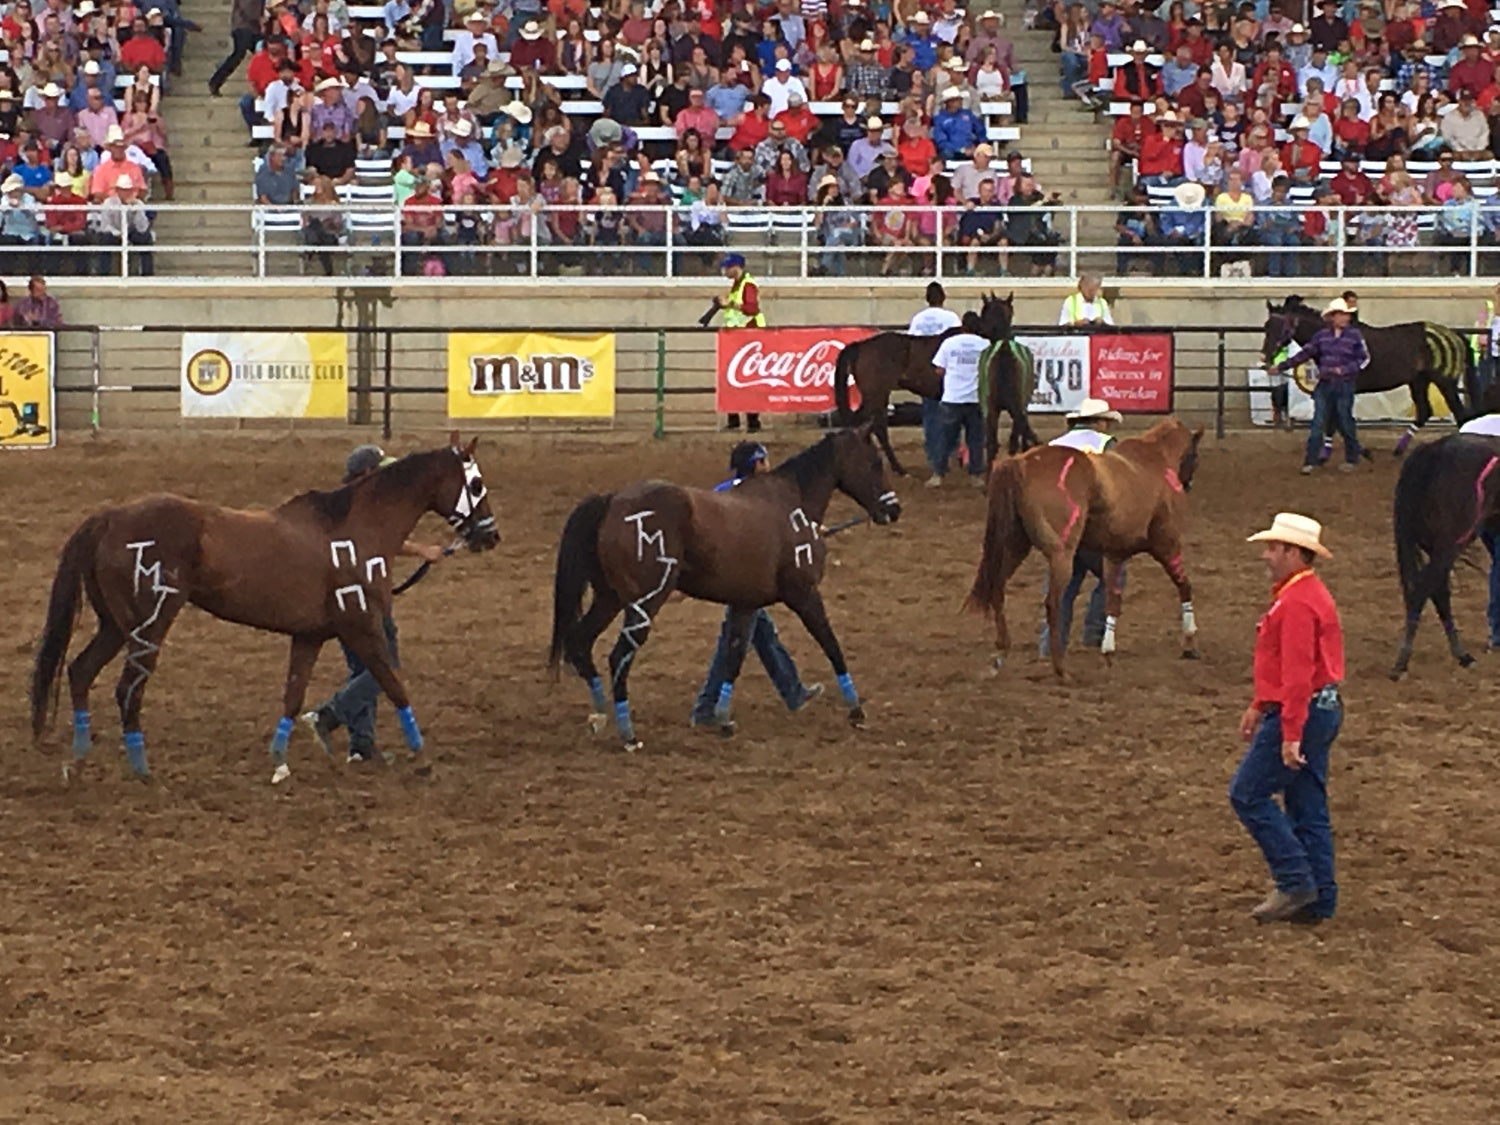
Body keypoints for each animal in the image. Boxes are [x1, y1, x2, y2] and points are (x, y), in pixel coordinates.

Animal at [29, 435, 501, 786]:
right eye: (477, 485)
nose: (490, 536)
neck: (355, 531)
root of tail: (109, 517)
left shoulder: (310, 636)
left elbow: (293, 696)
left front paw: (279, 762)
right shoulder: (361, 627)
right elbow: (393, 683)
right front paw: (422, 757)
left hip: (115, 626)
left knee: (80, 672)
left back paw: (79, 761)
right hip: (148, 627)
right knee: (128, 688)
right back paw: (142, 770)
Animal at [552, 426, 900, 753]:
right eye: (875, 461)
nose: (894, 509)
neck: (794, 504)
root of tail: (611, 500)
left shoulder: (746, 604)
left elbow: (733, 658)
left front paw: (723, 719)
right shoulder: (804, 595)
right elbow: (831, 644)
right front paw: (856, 710)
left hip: (609, 599)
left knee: (580, 643)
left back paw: (599, 715)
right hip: (644, 604)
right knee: (618, 656)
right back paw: (628, 735)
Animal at [828, 292, 1038, 474]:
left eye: (1008, 312)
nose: (1009, 337)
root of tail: (861, 346)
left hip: (873, 395)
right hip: (877, 394)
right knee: (877, 427)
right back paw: (897, 468)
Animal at [960, 420, 1206, 678]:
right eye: (1195, 455)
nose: (1188, 484)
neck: (1156, 460)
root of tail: (1021, 463)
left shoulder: (1114, 555)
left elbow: (1112, 601)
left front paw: (1108, 651)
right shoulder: (1167, 544)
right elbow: (1184, 586)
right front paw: (1190, 643)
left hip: (1014, 547)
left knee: (997, 588)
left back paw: (1001, 654)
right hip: (1061, 556)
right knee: (1053, 604)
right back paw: (1060, 669)